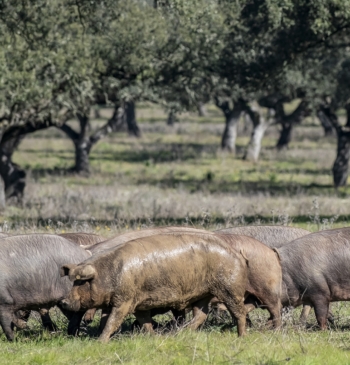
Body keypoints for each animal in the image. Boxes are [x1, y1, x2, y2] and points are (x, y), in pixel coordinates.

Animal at [60, 232, 249, 340]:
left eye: (82, 281)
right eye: (73, 281)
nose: (63, 301)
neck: (110, 273)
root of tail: (237, 254)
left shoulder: (125, 299)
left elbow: (112, 321)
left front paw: (101, 341)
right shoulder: (138, 303)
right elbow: (145, 321)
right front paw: (153, 337)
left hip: (230, 288)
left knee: (239, 313)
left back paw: (241, 337)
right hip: (203, 294)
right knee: (201, 314)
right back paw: (177, 334)